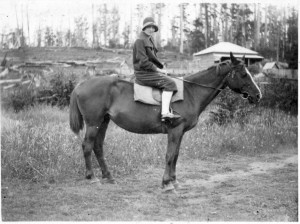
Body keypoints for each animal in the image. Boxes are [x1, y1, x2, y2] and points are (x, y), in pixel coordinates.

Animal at [69, 52, 262, 191]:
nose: (258, 95)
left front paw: (174, 181)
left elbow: (175, 155)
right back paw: (92, 177)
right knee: (87, 146)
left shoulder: (180, 132)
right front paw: (166, 183)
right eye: (244, 74)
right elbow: (169, 155)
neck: (191, 92)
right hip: (93, 123)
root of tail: (81, 85)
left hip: (103, 122)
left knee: (98, 146)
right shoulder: (175, 130)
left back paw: (108, 176)